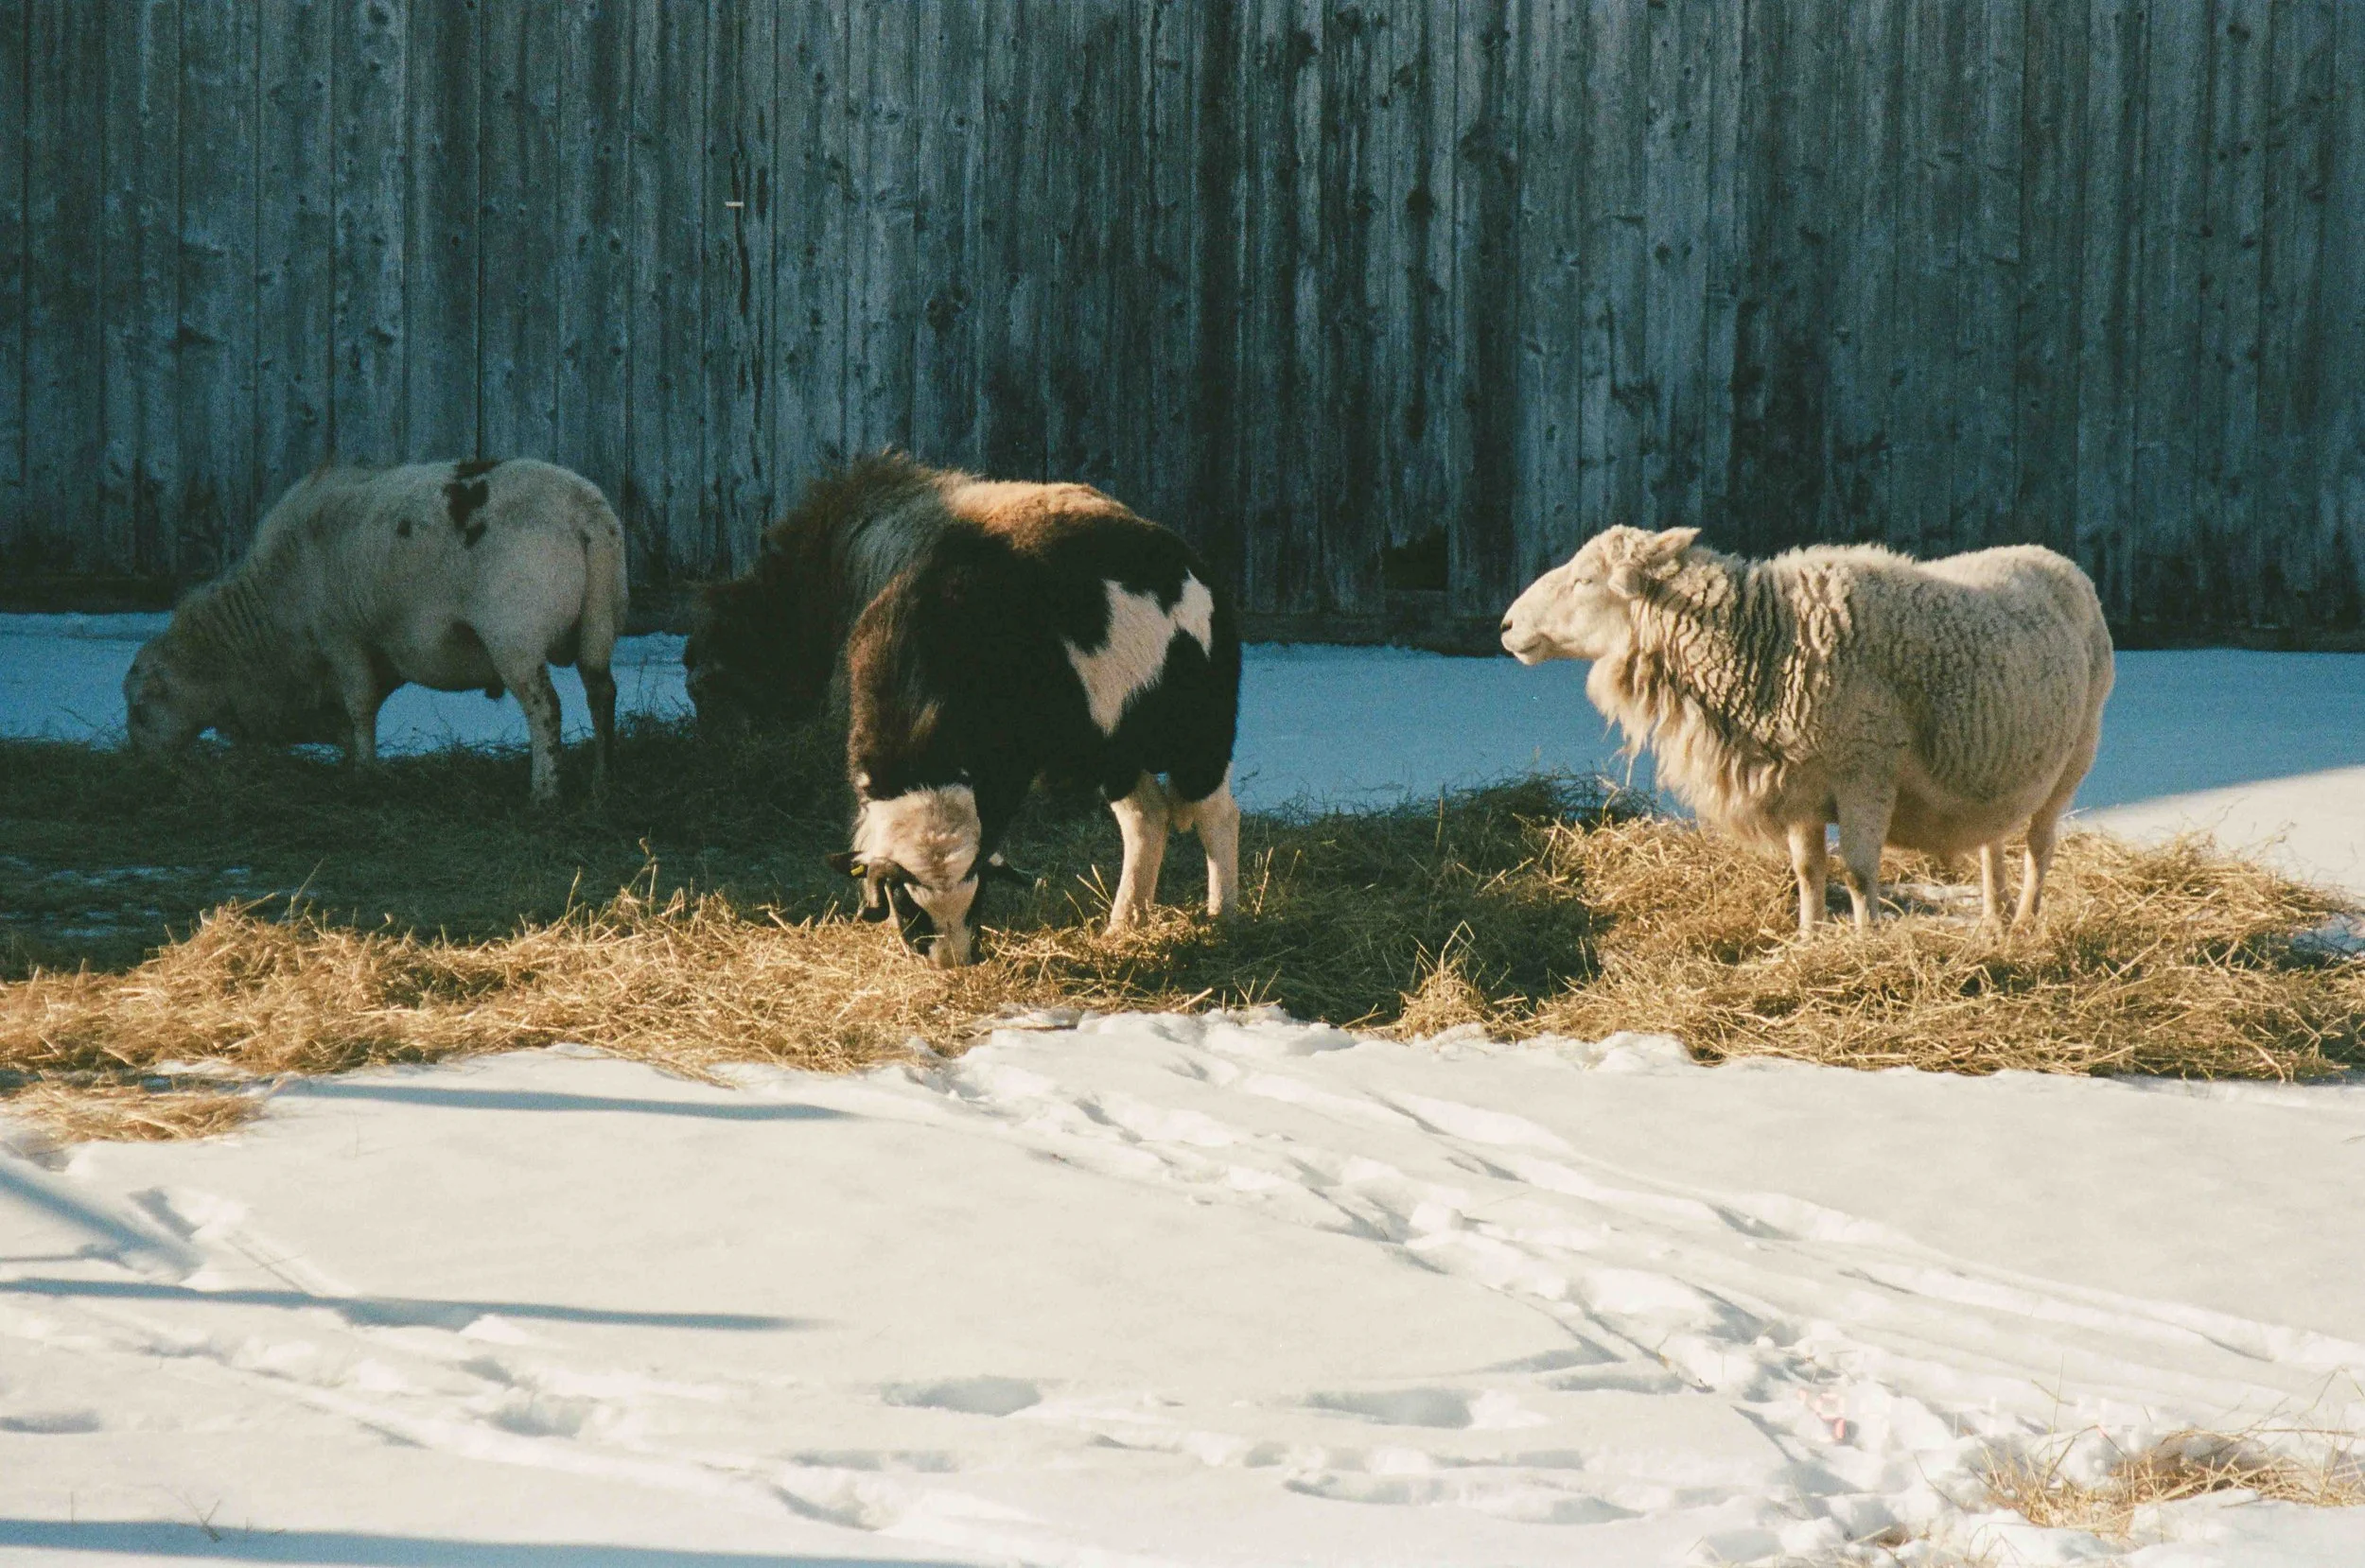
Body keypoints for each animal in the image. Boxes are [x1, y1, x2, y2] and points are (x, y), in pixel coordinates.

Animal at [122, 458, 628, 804]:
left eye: (141, 710)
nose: (141, 766)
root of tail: (583, 511)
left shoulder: (341, 639)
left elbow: (360, 706)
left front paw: (362, 773)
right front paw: (354, 759)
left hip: (514, 636)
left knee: (546, 708)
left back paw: (545, 793)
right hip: (599, 624)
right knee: (601, 693)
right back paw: (602, 783)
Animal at [825, 467, 1243, 968]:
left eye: (978, 898)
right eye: (907, 905)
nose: (953, 965)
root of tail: (1186, 560)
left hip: (1201, 731)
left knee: (1217, 814)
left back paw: (1223, 917)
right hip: (1112, 750)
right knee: (1147, 817)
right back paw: (1125, 925)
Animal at [1500, 525, 2115, 933]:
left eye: (1584, 580)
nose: (1506, 626)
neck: (1771, 642)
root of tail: (2057, 559)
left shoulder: (1866, 772)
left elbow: (1860, 873)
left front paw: (1868, 947)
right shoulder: (1797, 784)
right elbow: (1807, 871)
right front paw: (1807, 941)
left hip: (2076, 759)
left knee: (2039, 847)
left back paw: (2024, 927)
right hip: (1995, 766)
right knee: (1992, 841)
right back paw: (1993, 921)